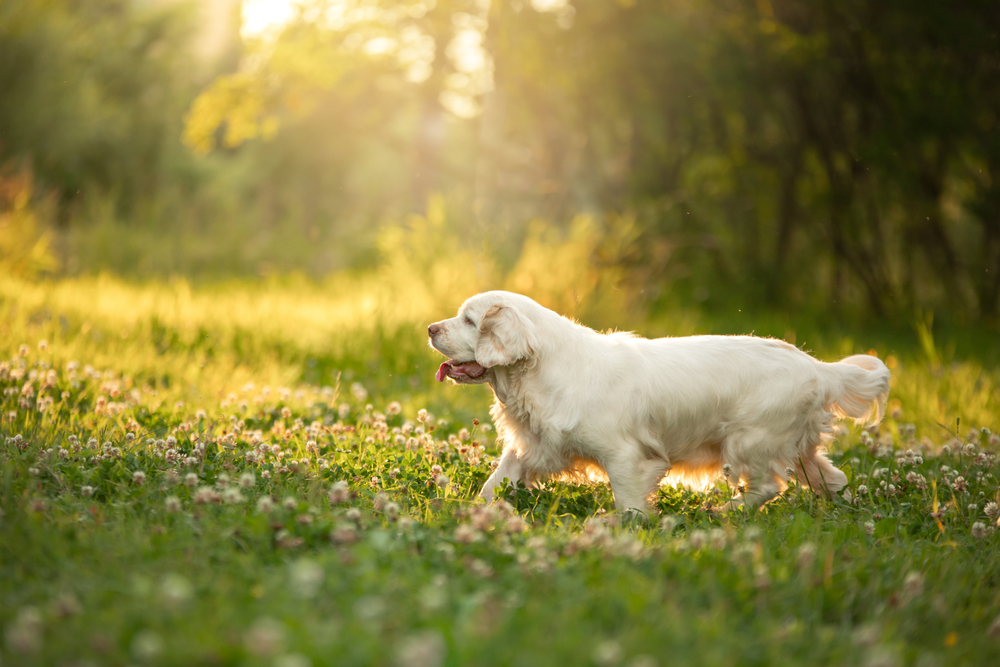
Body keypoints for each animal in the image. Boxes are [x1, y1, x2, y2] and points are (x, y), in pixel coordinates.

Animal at [428, 290, 892, 516]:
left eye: (469, 320)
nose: (430, 328)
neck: (541, 371)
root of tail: (818, 367)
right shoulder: (535, 446)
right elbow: (495, 483)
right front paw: (471, 512)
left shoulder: (627, 457)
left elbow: (628, 503)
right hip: (799, 450)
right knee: (834, 480)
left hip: (749, 443)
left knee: (766, 488)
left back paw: (722, 510)